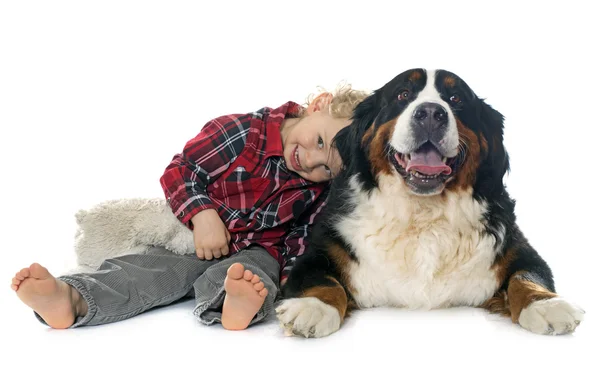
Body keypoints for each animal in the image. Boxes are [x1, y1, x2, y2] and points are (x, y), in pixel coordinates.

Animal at [276, 68, 584, 336]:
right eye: (403, 94)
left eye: (456, 98)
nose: (431, 114)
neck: (423, 216)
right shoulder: (322, 248)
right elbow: (320, 279)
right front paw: (312, 307)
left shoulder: (513, 245)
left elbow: (528, 274)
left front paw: (545, 305)